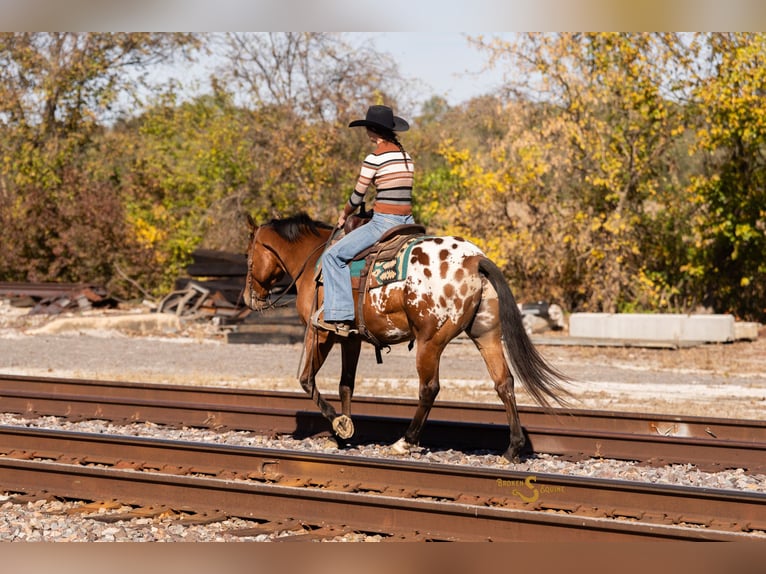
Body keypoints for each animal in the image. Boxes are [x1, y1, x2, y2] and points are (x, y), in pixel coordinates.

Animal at [244, 212, 571, 462]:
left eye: (249, 256)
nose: (249, 297)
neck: (314, 262)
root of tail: (474, 261)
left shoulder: (320, 333)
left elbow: (306, 380)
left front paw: (339, 425)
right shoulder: (350, 338)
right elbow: (346, 385)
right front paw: (342, 435)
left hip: (430, 342)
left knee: (429, 388)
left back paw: (405, 441)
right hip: (486, 334)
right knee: (504, 383)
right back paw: (512, 449)